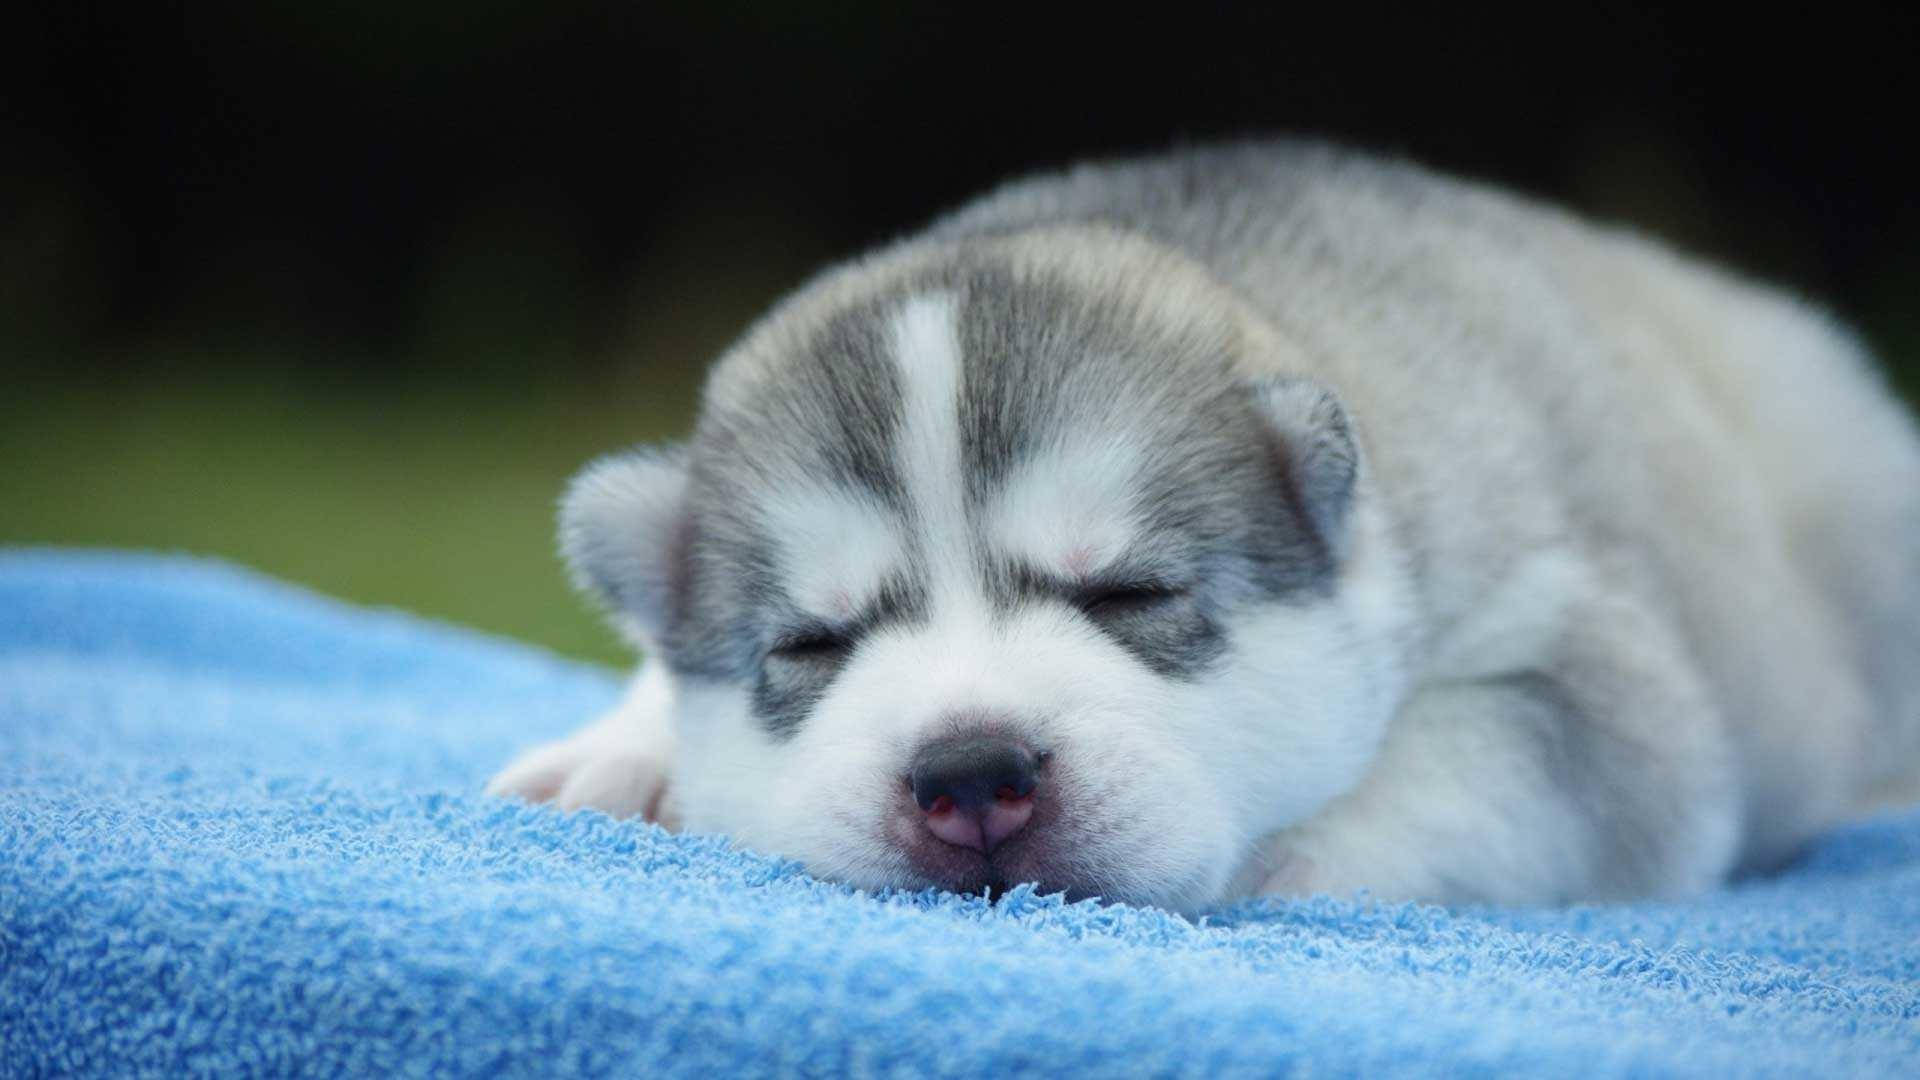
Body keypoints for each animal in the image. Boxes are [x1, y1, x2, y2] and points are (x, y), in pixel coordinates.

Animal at [487, 138, 1920, 903]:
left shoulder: (1591, 677)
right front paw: (622, 749)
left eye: (1129, 594)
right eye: (811, 645)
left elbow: (1453, 773)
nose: (970, 777)